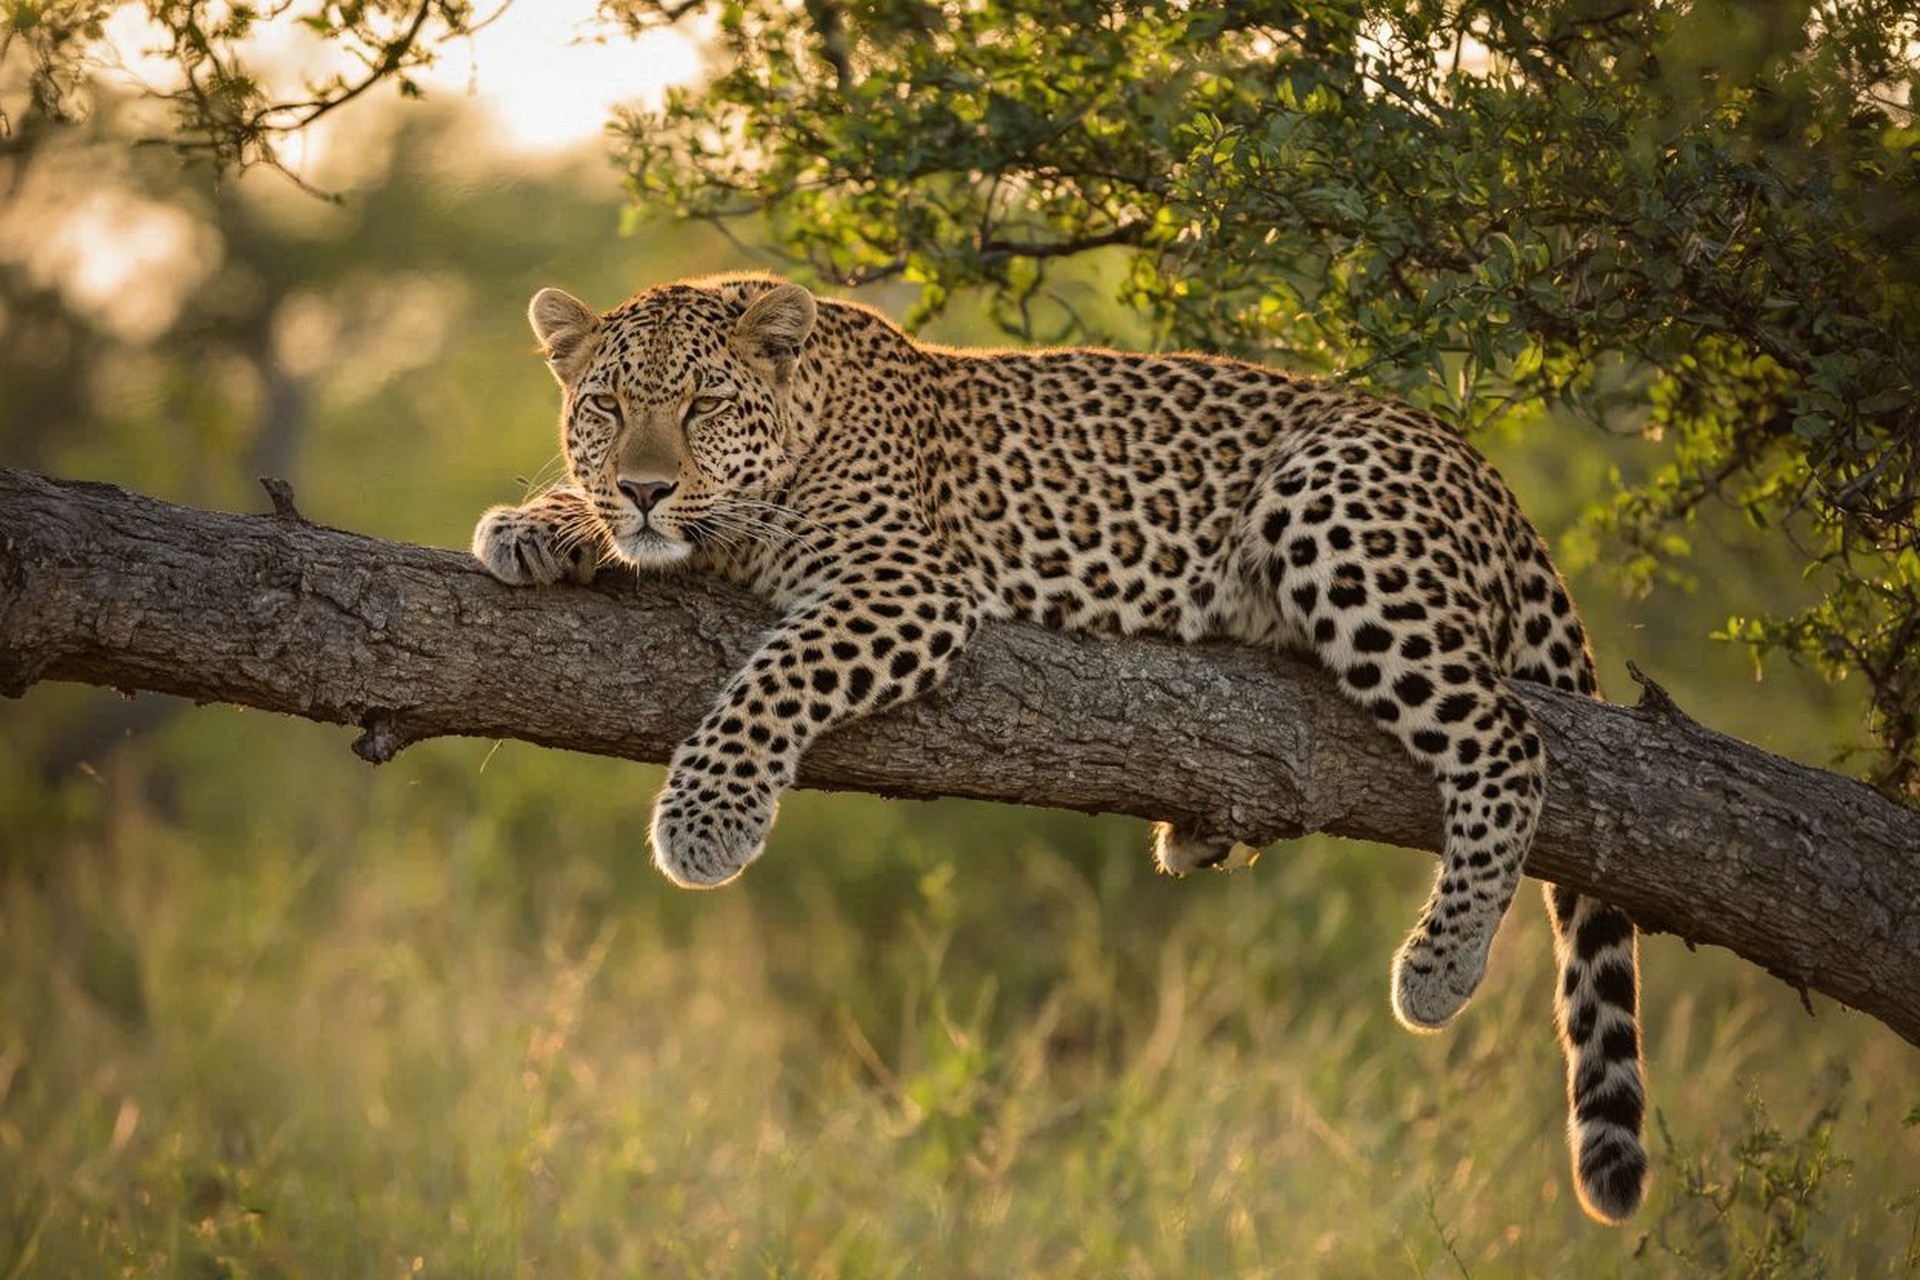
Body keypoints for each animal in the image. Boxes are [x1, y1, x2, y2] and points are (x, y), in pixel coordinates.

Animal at [472, 272, 1649, 1222]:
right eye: (605, 407)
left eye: (704, 405)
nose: (645, 486)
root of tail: (1487, 476)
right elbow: (633, 539)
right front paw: (540, 523)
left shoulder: (904, 585)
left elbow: (773, 677)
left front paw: (705, 820)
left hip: (1336, 508)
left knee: (1509, 742)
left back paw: (1440, 965)